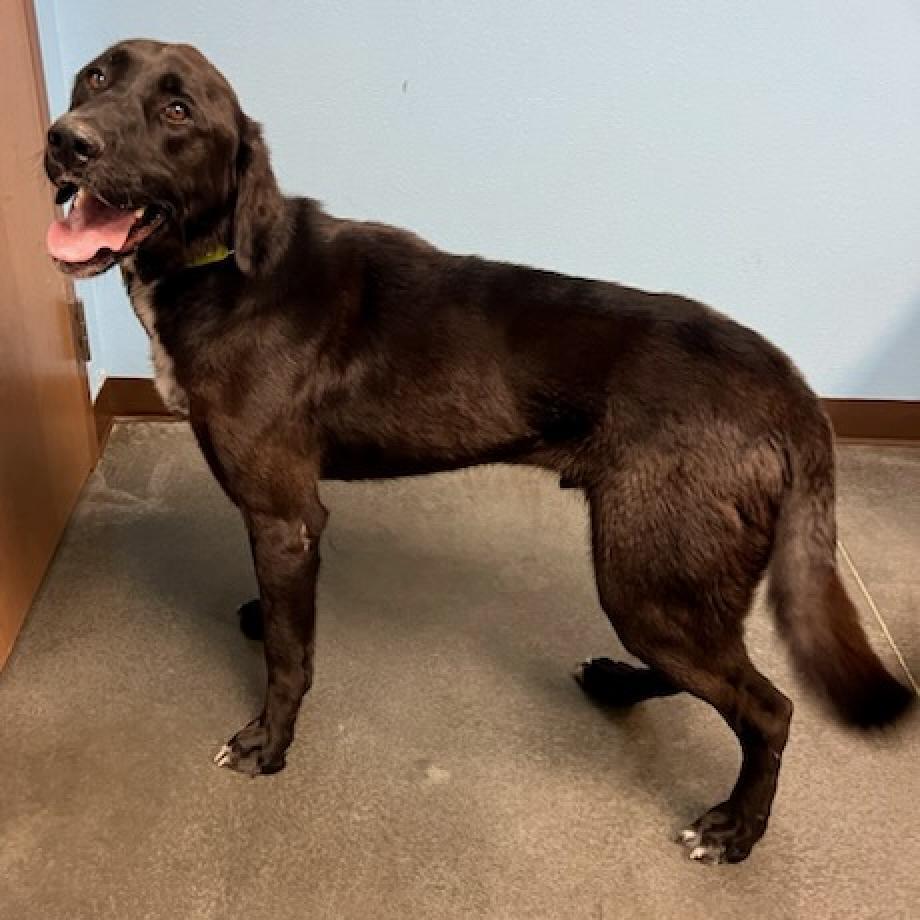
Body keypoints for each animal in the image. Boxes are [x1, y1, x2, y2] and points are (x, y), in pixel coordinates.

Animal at [45, 41, 912, 864]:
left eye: (178, 110)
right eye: (94, 77)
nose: (65, 141)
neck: (225, 263)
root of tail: (786, 384)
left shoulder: (285, 515)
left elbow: (292, 658)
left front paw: (271, 742)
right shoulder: (282, 526)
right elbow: (287, 616)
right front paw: (264, 616)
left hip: (646, 574)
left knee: (768, 708)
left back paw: (735, 828)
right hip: (670, 579)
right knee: (704, 672)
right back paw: (620, 686)